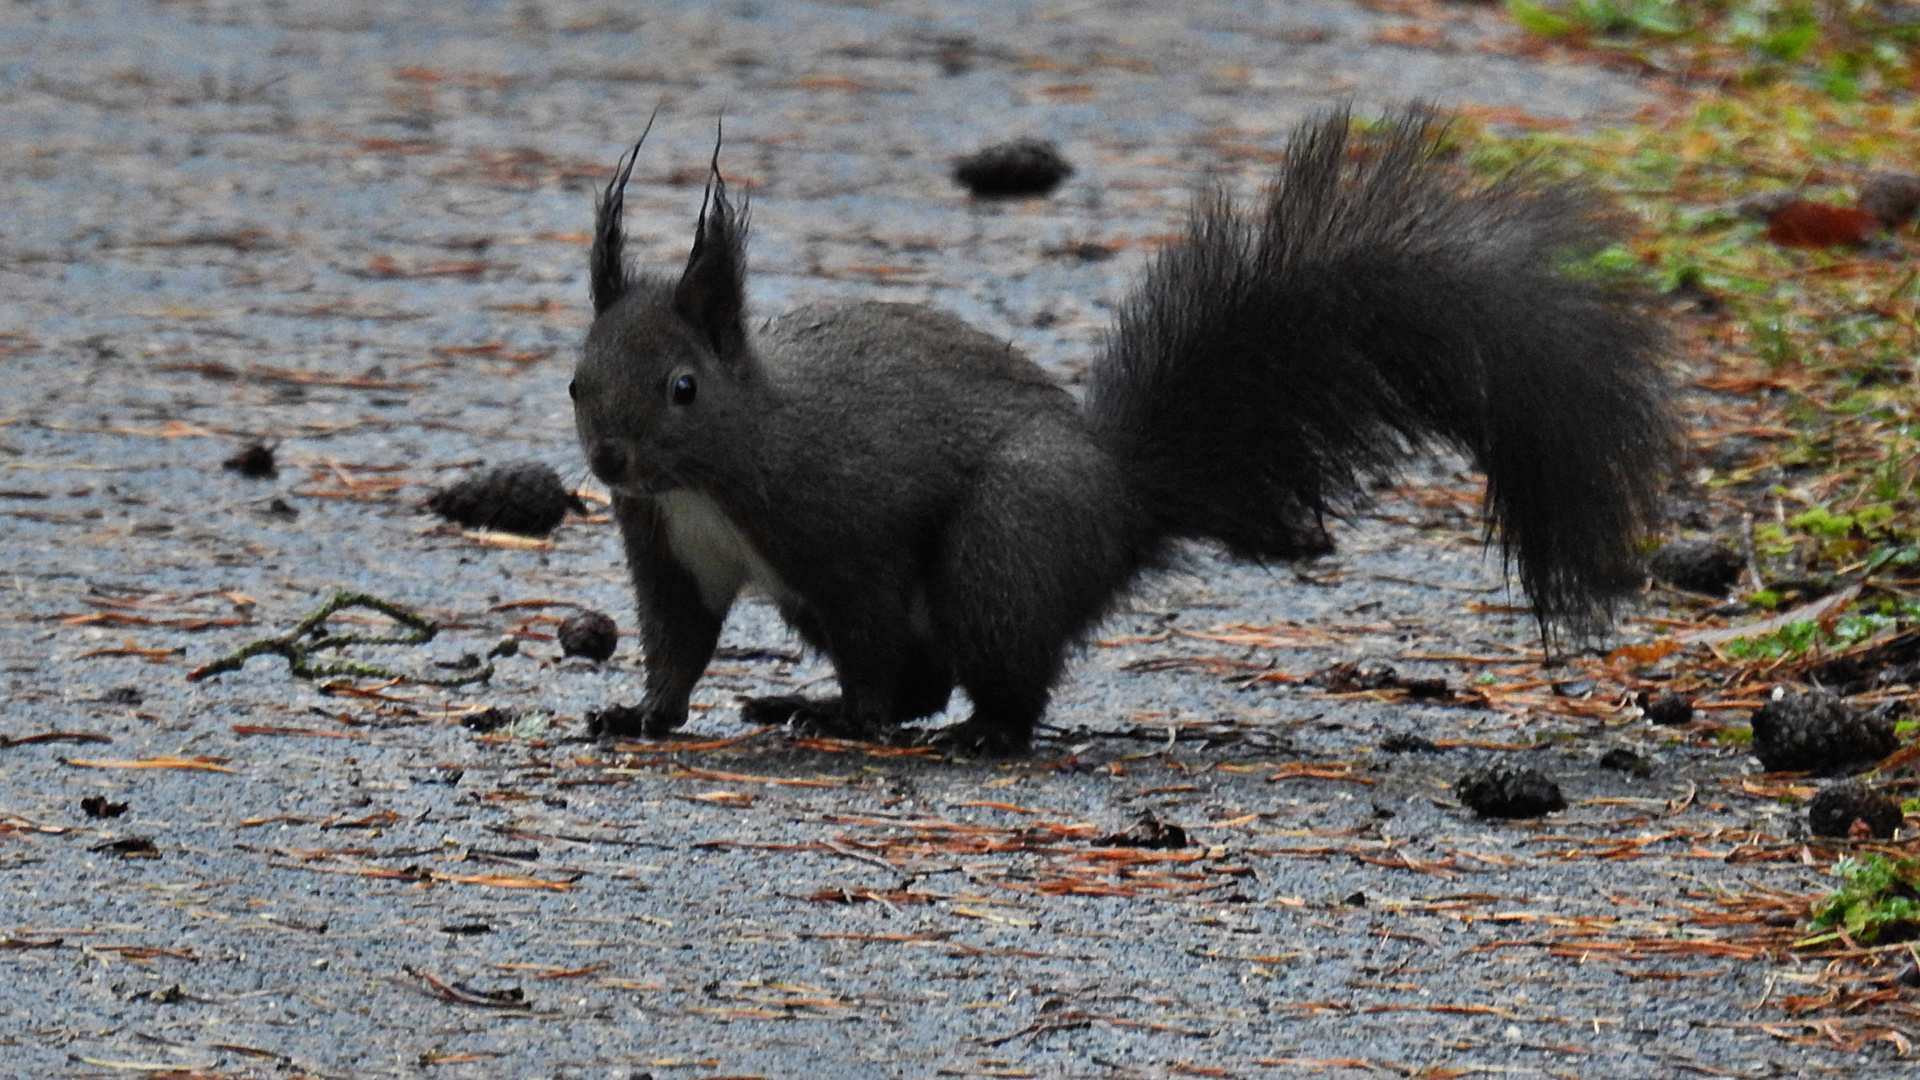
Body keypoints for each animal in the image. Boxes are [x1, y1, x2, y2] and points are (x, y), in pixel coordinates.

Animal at [572, 107, 1681, 749]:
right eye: (578, 380)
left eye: (681, 387)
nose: (609, 460)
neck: (710, 477)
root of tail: (1123, 500)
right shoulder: (669, 550)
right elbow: (678, 644)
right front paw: (642, 713)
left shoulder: (844, 525)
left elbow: (873, 639)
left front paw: (857, 715)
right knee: (938, 678)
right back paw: (803, 704)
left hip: (1006, 546)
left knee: (992, 680)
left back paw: (955, 731)